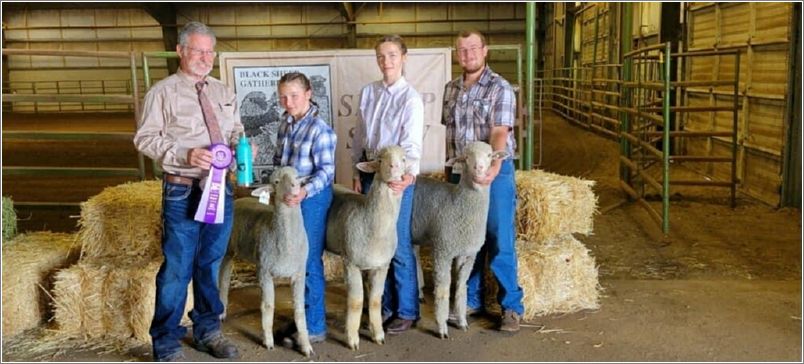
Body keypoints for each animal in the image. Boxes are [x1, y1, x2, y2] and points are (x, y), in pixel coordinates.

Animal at [217, 167, 314, 358]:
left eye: (297, 177)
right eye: (276, 182)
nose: (294, 187)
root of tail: (240, 200)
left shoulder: (299, 274)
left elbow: (299, 309)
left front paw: (306, 345)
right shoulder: (264, 271)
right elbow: (268, 306)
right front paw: (268, 341)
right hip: (227, 249)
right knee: (223, 278)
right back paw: (222, 311)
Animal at [324, 145, 406, 350]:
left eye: (404, 159)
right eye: (380, 159)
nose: (394, 167)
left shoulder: (382, 266)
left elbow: (376, 300)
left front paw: (378, 334)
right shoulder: (350, 263)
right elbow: (355, 301)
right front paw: (352, 339)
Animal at [414, 141, 508, 338]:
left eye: (489, 156)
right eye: (466, 157)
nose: (479, 168)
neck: (457, 202)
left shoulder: (468, 254)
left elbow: (460, 287)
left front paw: (462, 320)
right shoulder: (443, 251)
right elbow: (443, 290)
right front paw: (442, 326)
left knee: (415, 254)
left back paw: (418, 291)